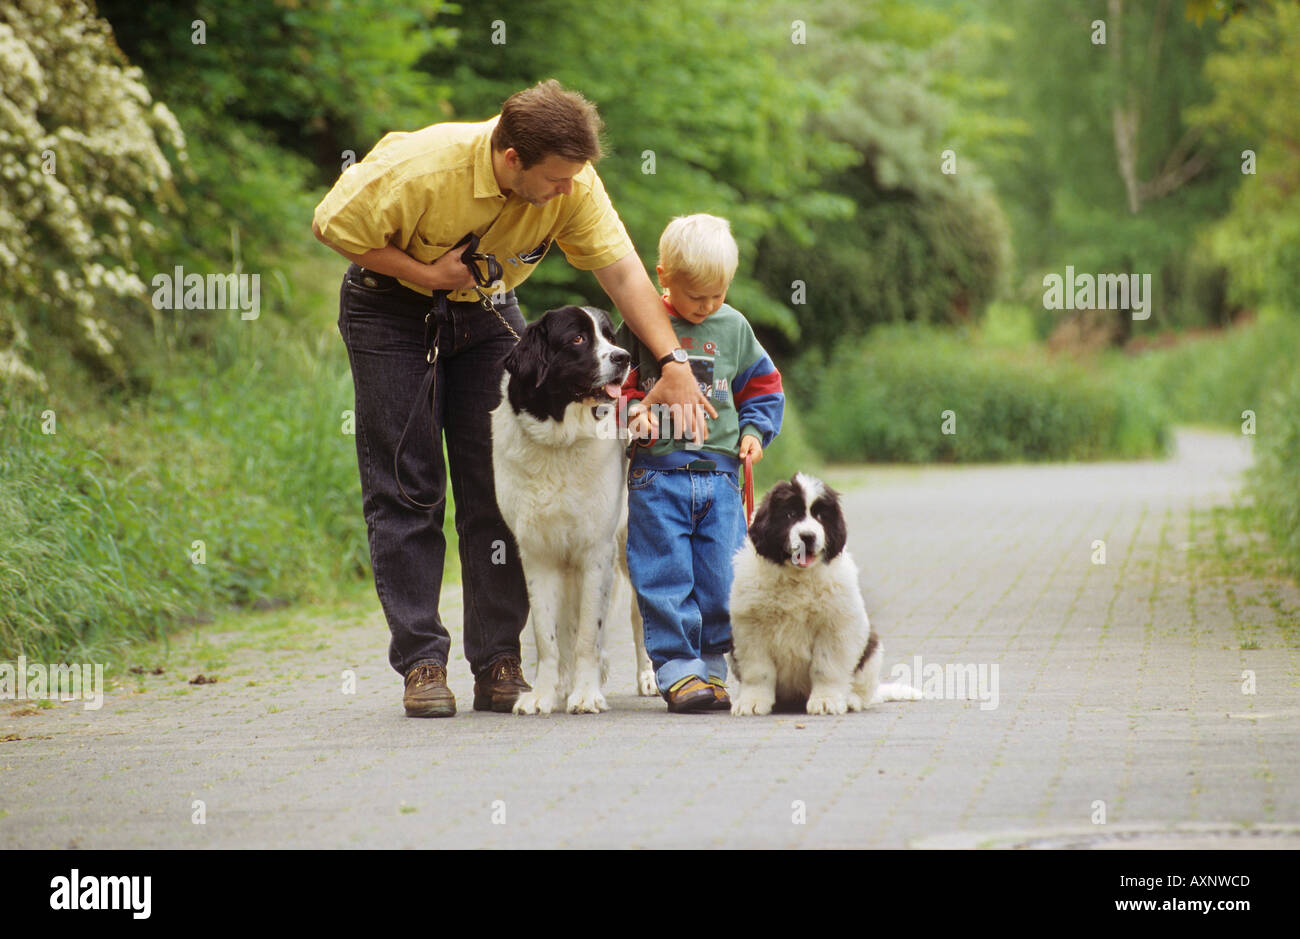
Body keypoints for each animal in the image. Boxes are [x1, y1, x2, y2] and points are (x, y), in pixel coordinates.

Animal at [488, 303, 655, 712]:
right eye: (577, 339)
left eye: (609, 336)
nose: (622, 357)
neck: (559, 442)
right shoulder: (538, 552)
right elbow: (547, 633)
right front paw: (544, 694)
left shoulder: (596, 550)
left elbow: (588, 634)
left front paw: (586, 693)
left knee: (639, 617)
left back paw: (648, 678)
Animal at [728, 470, 920, 712]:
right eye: (790, 514)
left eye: (820, 516)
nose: (808, 536)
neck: (797, 578)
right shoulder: (751, 628)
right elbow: (758, 671)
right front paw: (752, 702)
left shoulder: (835, 626)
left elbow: (826, 667)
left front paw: (826, 701)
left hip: (871, 649)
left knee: (863, 689)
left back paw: (850, 699)